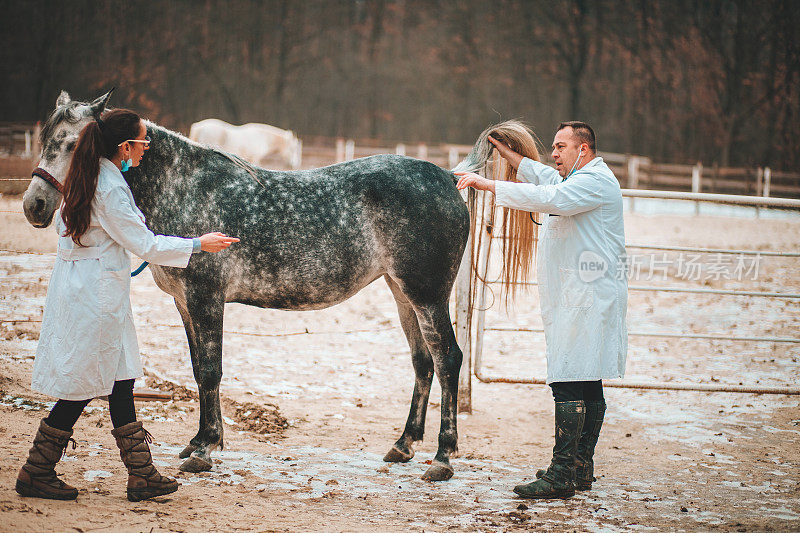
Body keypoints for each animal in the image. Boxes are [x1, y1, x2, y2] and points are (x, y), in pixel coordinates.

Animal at [21, 91, 472, 482]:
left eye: (74, 144)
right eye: (46, 141)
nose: (35, 206)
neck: (185, 191)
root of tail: (448, 178)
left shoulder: (205, 298)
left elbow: (211, 370)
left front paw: (205, 449)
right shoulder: (185, 303)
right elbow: (199, 370)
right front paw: (198, 441)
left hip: (427, 296)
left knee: (448, 359)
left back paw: (442, 458)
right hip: (402, 294)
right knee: (423, 362)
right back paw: (403, 445)